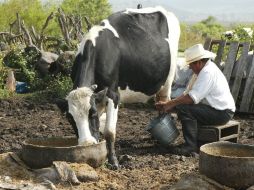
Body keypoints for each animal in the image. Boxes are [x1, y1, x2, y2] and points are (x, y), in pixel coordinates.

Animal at [64, 6, 180, 169]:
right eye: (70, 118)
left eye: (92, 113)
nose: (86, 144)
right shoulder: (99, 96)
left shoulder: (113, 94)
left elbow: (109, 131)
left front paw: (113, 161)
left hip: (168, 80)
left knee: (164, 103)